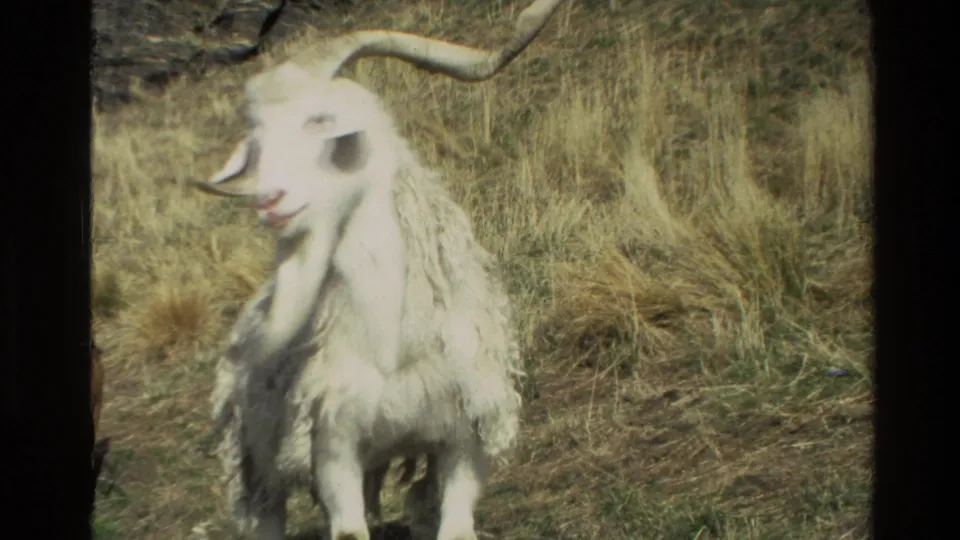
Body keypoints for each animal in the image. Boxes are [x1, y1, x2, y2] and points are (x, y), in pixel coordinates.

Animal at [190, 1, 565, 538]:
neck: (393, 343)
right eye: (256, 139)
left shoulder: (464, 440)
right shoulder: (332, 447)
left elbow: (454, 525)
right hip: (259, 466)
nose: (269, 201)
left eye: (319, 120)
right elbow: (348, 528)